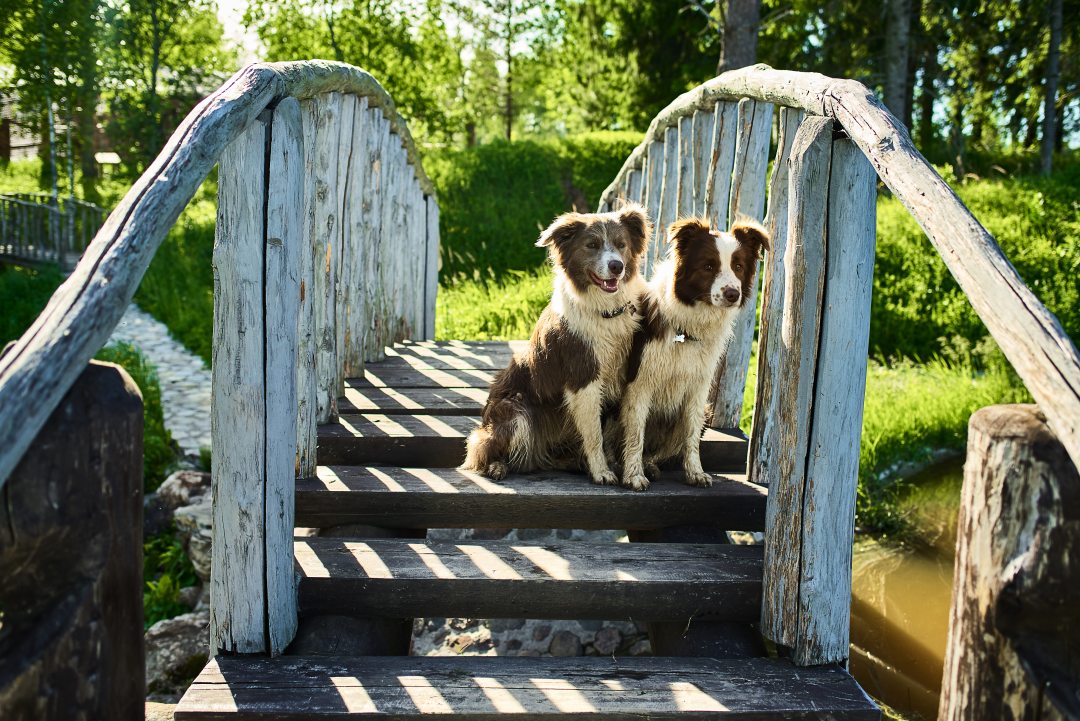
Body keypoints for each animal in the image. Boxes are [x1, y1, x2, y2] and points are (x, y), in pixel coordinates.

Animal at [457, 202, 648, 483]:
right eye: (591, 245)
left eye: (621, 244)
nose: (616, 266)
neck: (604, 311)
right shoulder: (583, 378)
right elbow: (594, 434)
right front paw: (601, 472)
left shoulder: (621, 377)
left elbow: (612, 432)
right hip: (515, 409)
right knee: (484, 449)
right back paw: (497, 466)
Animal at [617, 216, 768, 492]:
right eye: (708, 266)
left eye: (738, 266)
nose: (733, 294)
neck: (688, 327)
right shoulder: (640, 384)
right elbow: (635, 434)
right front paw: (633, 475)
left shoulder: (698, 389)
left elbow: (691, 436)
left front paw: (695, 473)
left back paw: (651, 465)